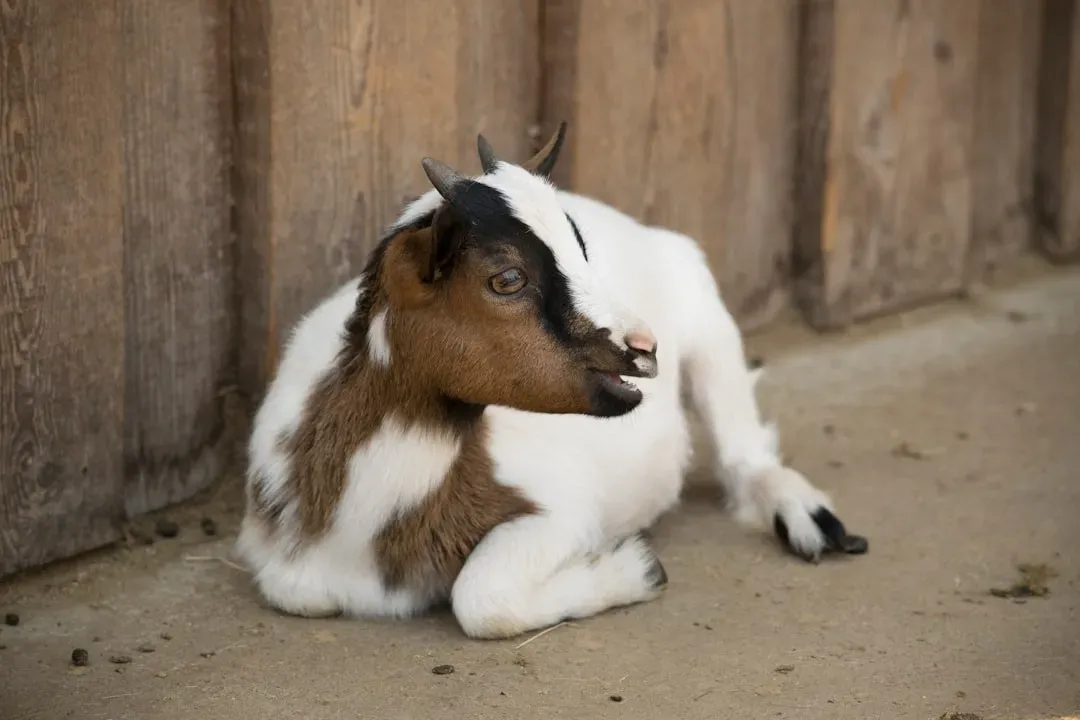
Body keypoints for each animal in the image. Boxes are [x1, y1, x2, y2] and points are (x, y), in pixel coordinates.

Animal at [235, 124, 868, 639]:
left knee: (742, 449)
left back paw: (810, 521)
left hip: (706, 317)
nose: (645, 347)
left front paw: (638, 569)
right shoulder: (285, 570)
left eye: (580, 248)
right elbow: (300, 592)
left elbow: (480, 598)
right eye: (507, 278)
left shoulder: (563, 513)